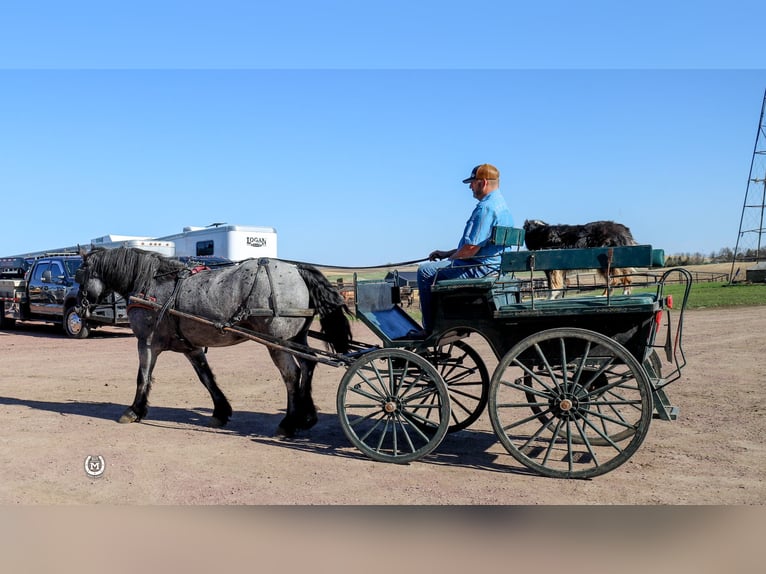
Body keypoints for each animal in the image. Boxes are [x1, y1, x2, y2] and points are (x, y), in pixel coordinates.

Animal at [74, 246, 352, 437]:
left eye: (78, 274)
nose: (78, 305)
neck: (150, 285)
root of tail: (296, 269)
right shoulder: (191, 347)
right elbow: (207, 378)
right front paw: (220, 411)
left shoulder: (147, 342)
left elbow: (143, 377)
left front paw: (134, 410)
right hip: (296, 337)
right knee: (308, 365)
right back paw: (307, 416)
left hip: (278, 342)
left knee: (292, 375)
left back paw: (288, 423)